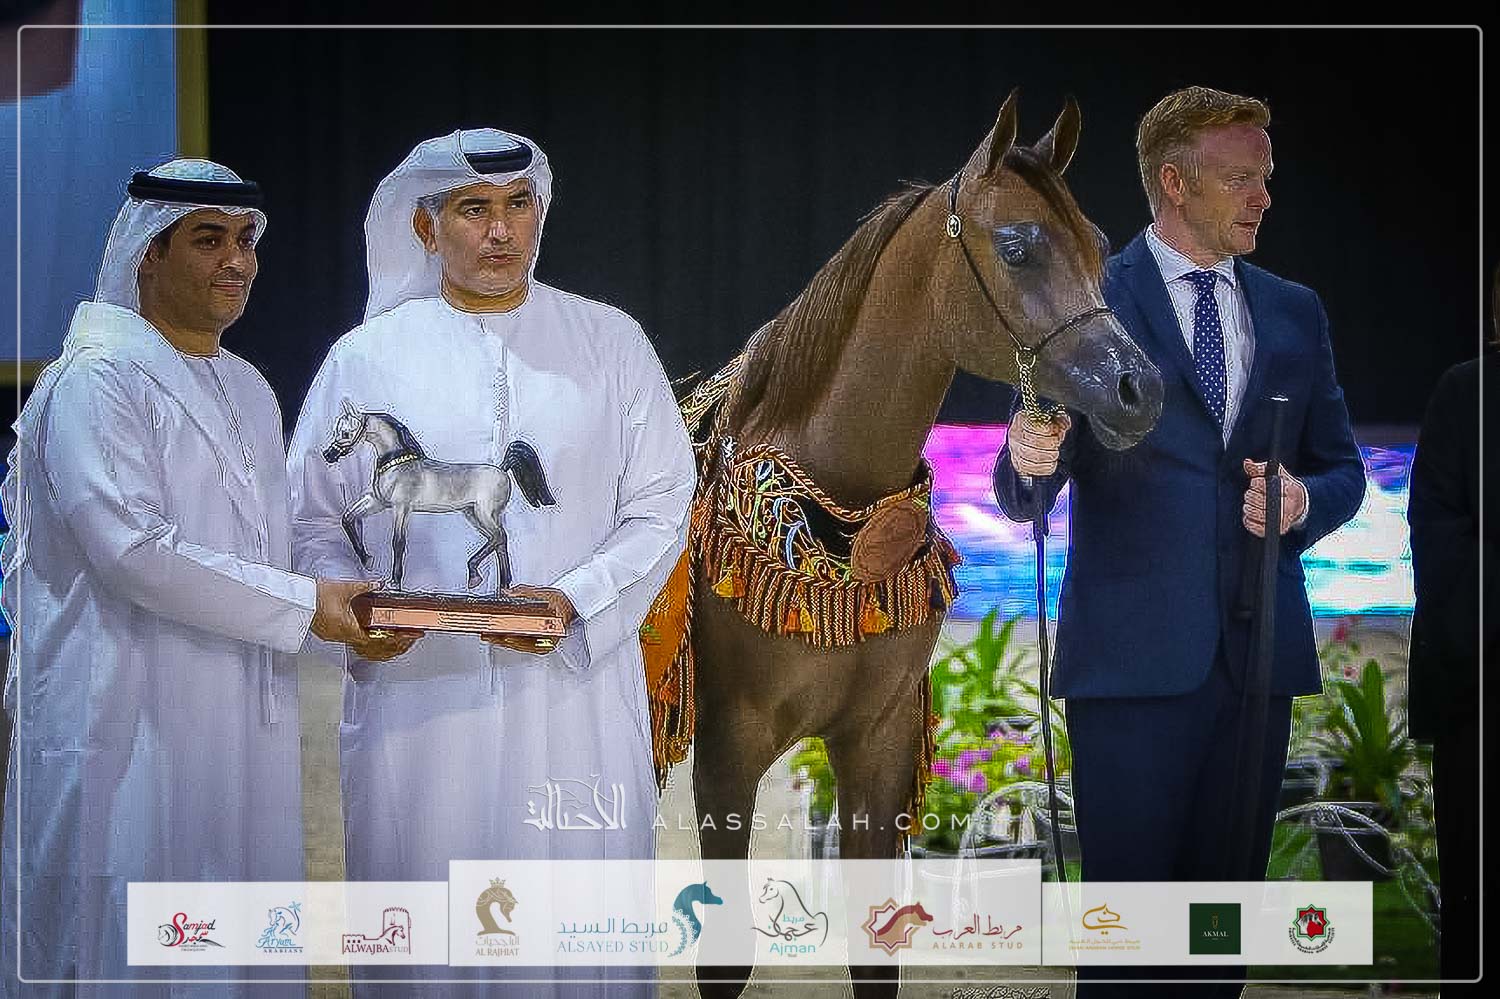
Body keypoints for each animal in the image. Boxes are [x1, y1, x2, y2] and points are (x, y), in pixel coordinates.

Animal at [320, 399, 555, 590]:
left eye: (346, 433)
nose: (328, 455)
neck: (398, 464)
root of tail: (503, 468)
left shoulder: (401, 508)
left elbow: (398, 542)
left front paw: (394, 582)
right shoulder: (377, 502)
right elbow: (347, 518)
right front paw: (367, 559)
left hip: (483, 513)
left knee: (499, 537)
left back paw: (475, 576)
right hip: (474, 514)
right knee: (499, 541)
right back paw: (503, 586)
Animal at [684, 92, 1163, 998]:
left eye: (1096, 245)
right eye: (1017, 247)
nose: (1139, 388)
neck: (836, 528)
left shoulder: (877, 746)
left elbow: (875, 948)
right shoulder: (727, 755)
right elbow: (722, 959)